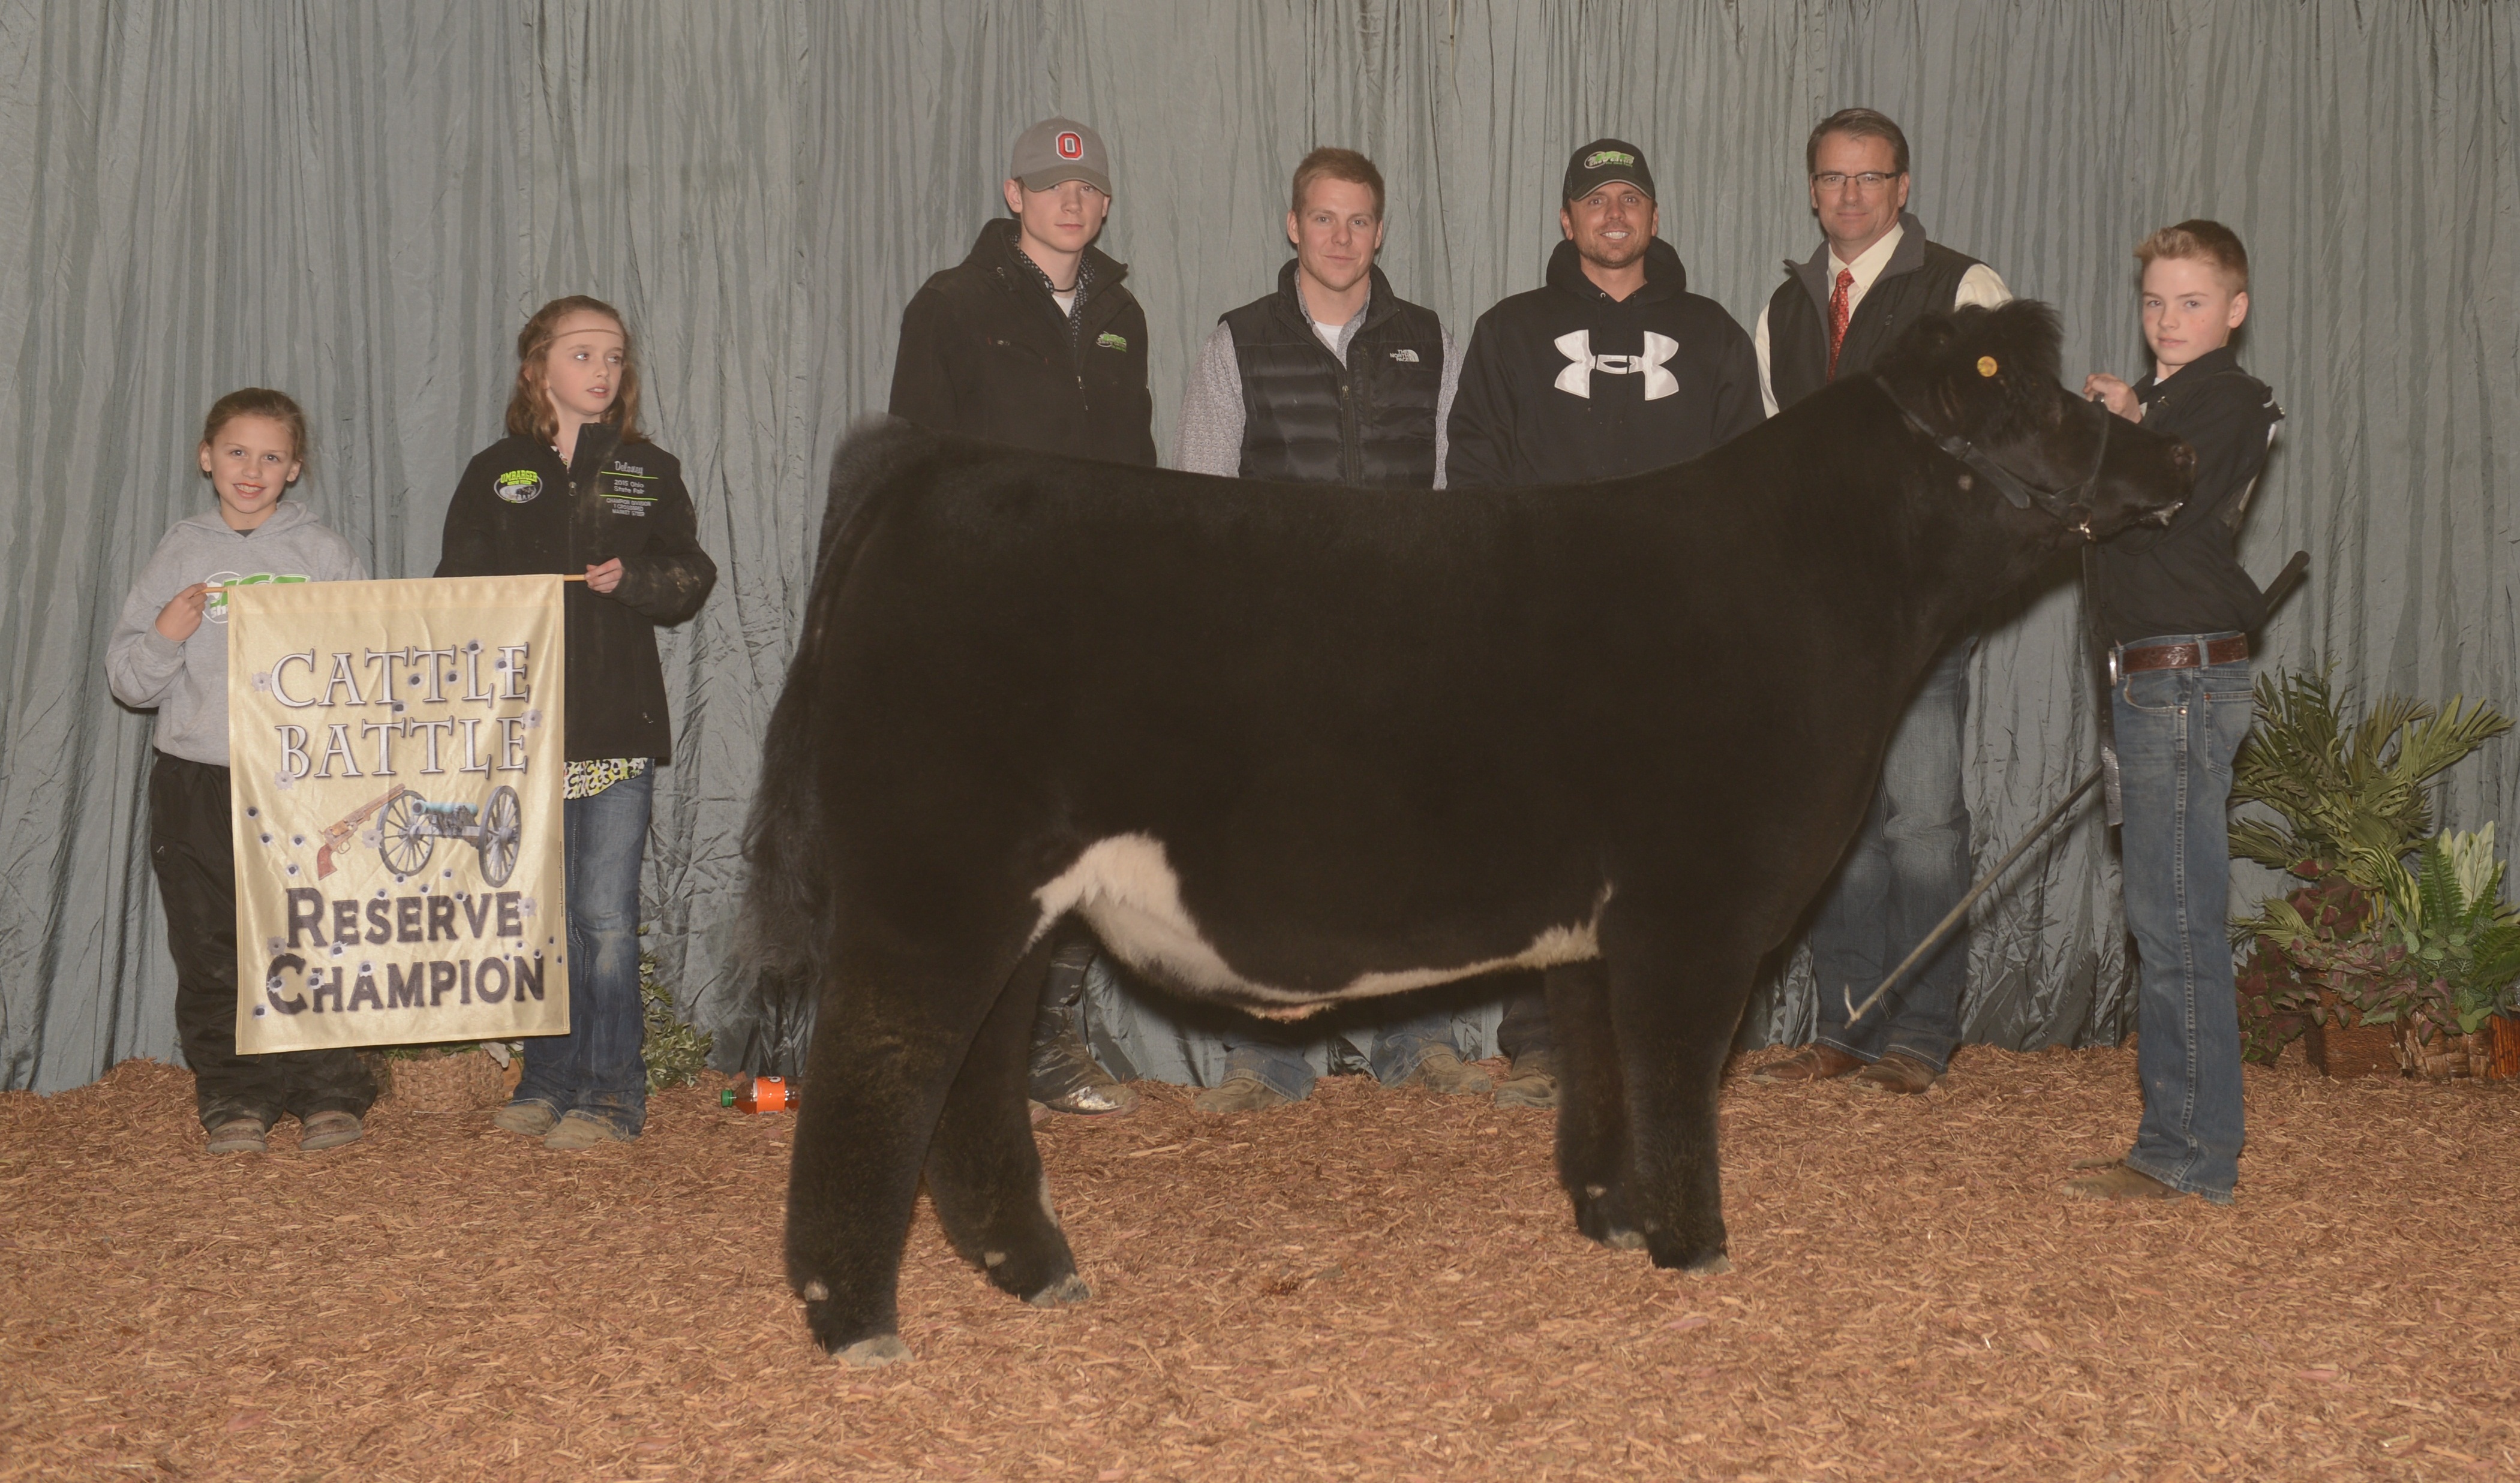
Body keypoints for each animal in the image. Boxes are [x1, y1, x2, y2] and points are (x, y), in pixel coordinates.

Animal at [739, 302, 2192, 1364]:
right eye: (2043, 405)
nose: (2175, 453)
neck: (1818, 587)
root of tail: (935, 465)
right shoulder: (1695, 909)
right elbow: (1676, 1080)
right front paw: (1694, 1244)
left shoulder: (1601, 926)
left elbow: (1603, 1073)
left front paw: (1611, 1220)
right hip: (933, 890)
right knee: (878, 1070)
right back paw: (855, 1320)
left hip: (1020, 906)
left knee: (976, 1078)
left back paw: (1034, 1273)